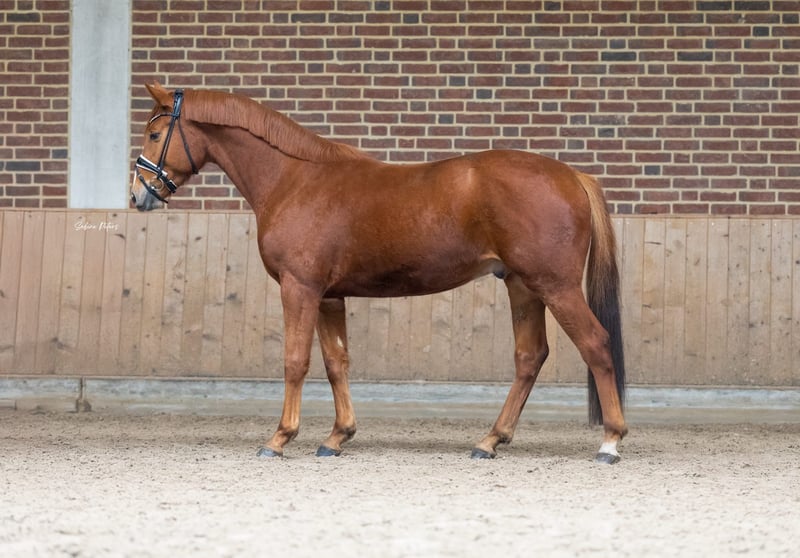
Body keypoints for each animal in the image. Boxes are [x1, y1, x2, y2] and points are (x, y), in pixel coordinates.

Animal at [131, 82, 628, 464]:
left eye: (155, 133)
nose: (139, 195)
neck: (296, 179)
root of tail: (573, 175)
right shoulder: (329, 296)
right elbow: (336, 362)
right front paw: (336, 437)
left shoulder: (300, 288)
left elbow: (295, 360)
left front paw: (279, 438)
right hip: (523, 287)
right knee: (529, 357)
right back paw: (489, 440)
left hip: (556, 287)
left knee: (595, 344)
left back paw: (610, 441)